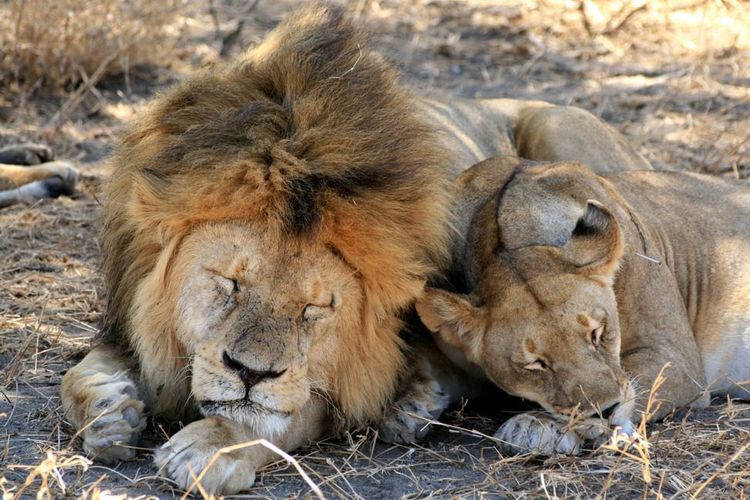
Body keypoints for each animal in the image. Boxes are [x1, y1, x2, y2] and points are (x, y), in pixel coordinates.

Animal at [60, 3, 653, 494]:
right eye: (229, 283)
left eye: (315, 308)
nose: (250, 374)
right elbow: (76, 377)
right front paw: (109, 413)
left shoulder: (344, 382)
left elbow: (281, 415)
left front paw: (212, 445)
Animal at [415, 155, 750, 455]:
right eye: (535, 364)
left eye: (597, 333)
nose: (607, 411)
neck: (503, 232)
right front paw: (413, 405)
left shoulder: (675, 358)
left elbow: (634, 381)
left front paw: (534, 426)